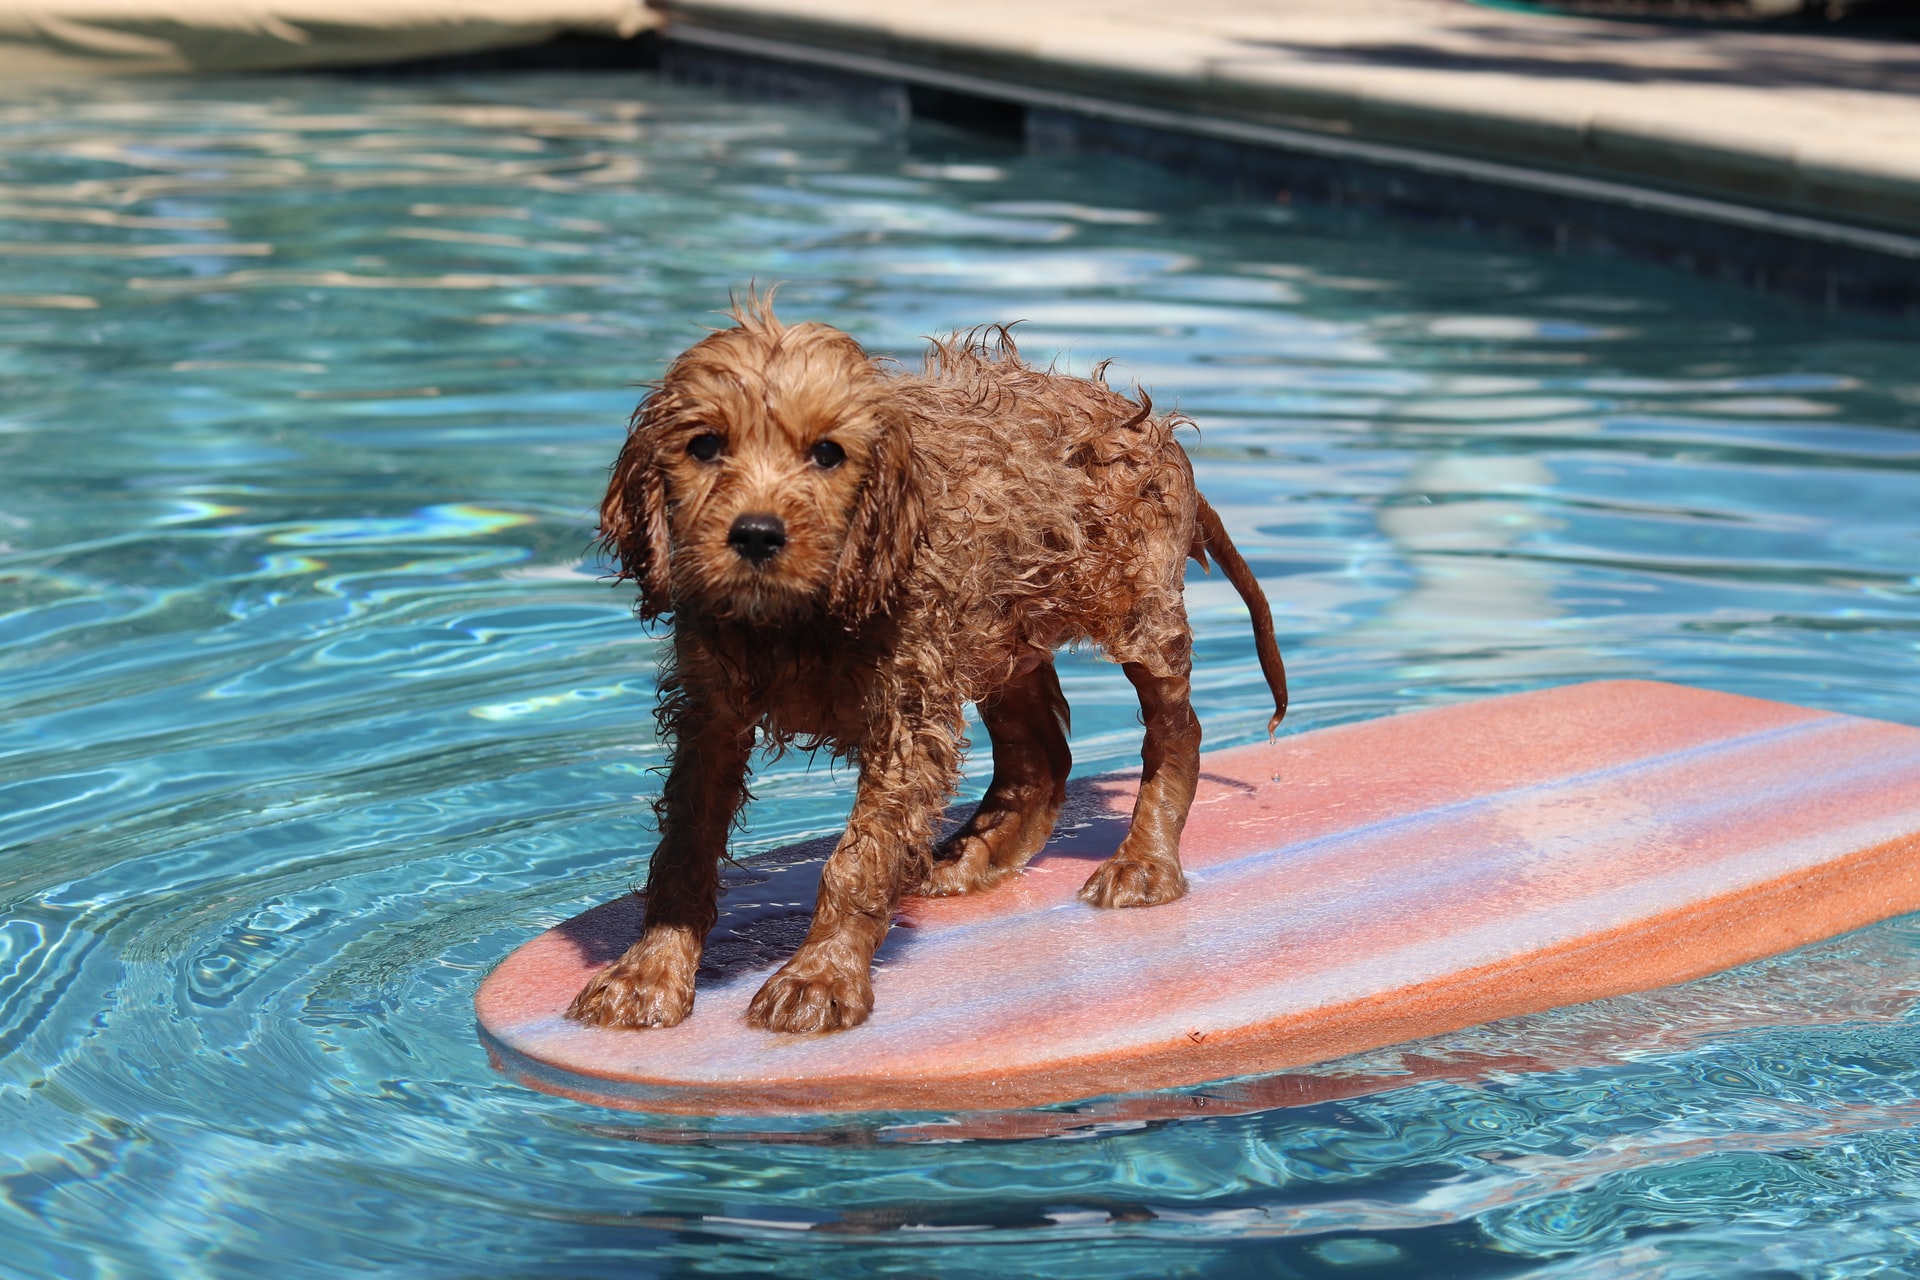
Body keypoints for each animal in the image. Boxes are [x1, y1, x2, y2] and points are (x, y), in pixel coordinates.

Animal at [568, 295, 1290, 1036]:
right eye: (704, 446)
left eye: (827, 453)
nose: (757, 535)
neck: (800, 614)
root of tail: (1147, 424)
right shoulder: (711, 716)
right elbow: (685, 846)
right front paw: (650, 970)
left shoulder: (907, 714)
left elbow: (858, 860)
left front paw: (819, 976)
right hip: (1000, 629)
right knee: (1040, 755)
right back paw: (975, 856)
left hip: (1135, 612)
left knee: (1175, 731)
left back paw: (1144, 862)